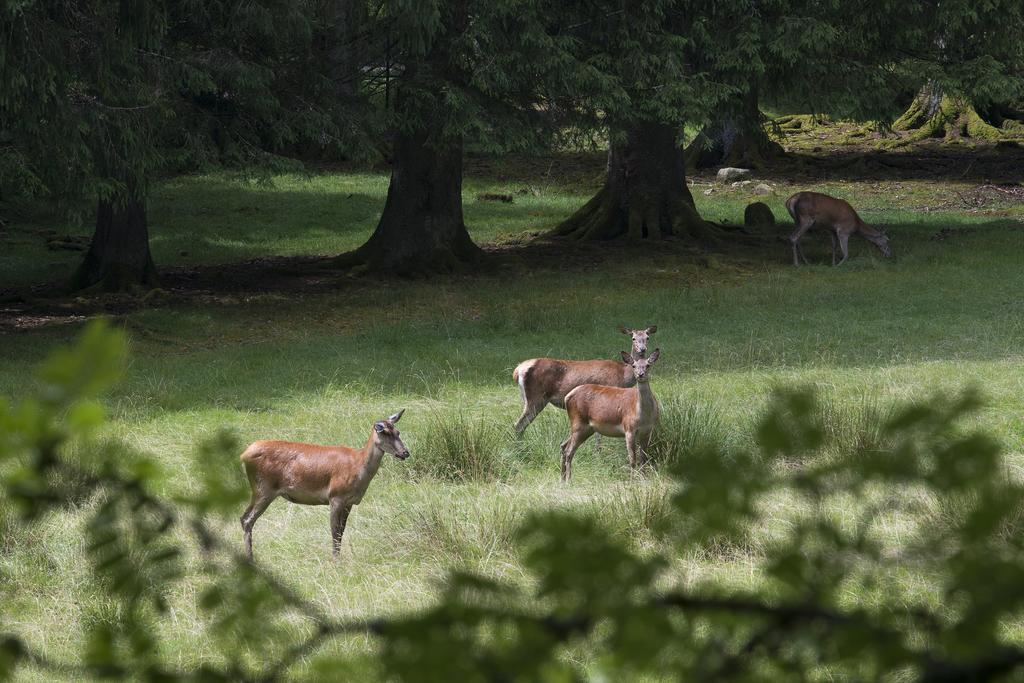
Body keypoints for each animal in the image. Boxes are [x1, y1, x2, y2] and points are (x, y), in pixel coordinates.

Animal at [239, 411, 411, 561]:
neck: (358, 467)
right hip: (263, 488)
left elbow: (341, 532)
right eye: (385, 433)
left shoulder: (349, 502)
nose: (405, 453)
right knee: (247, 519)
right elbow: (335, 532)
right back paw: (250, 558)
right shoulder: (335, 496)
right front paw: (335, 560)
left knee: (244, 518)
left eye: (398, 432)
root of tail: (244, 454)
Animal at [509, 325, 655, 432]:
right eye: (633, 338)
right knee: (518, 425)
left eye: (647, 337)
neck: (623, 375)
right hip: (536, 398)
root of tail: (517, 370)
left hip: (527, 399)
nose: (642, 349)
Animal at [557, 350, 659, 483]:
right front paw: (632, 481)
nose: (640, 375)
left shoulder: (647, 431)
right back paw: (569, 480)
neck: (643, 416)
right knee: (569, 451)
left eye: (648, 365)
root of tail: (567, 397)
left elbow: (644, 459)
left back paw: (562, 479)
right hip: (578, 422)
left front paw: (644, 479)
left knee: (564, 446)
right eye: (634, 366)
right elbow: (632, 459)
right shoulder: (629, 428)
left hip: (586, 429)